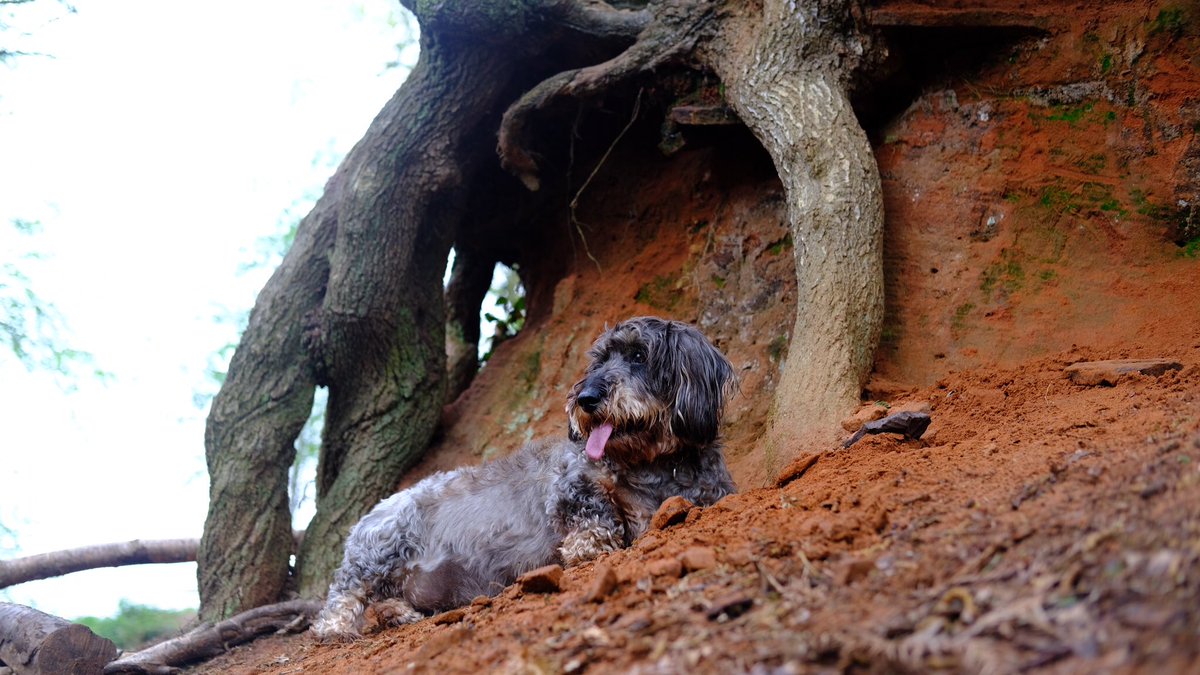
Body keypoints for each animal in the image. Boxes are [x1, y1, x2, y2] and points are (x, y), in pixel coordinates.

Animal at [309, 314, 734, 634]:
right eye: (599, 361)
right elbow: (594, 513)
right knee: (345, 593)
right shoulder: (569, 483)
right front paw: (589, 546)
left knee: (383, 599)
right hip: (383, 545)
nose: (586, 399)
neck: (651, 463)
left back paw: (400, 613)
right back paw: (337, 626)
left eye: (639, 355)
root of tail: (365, 517)